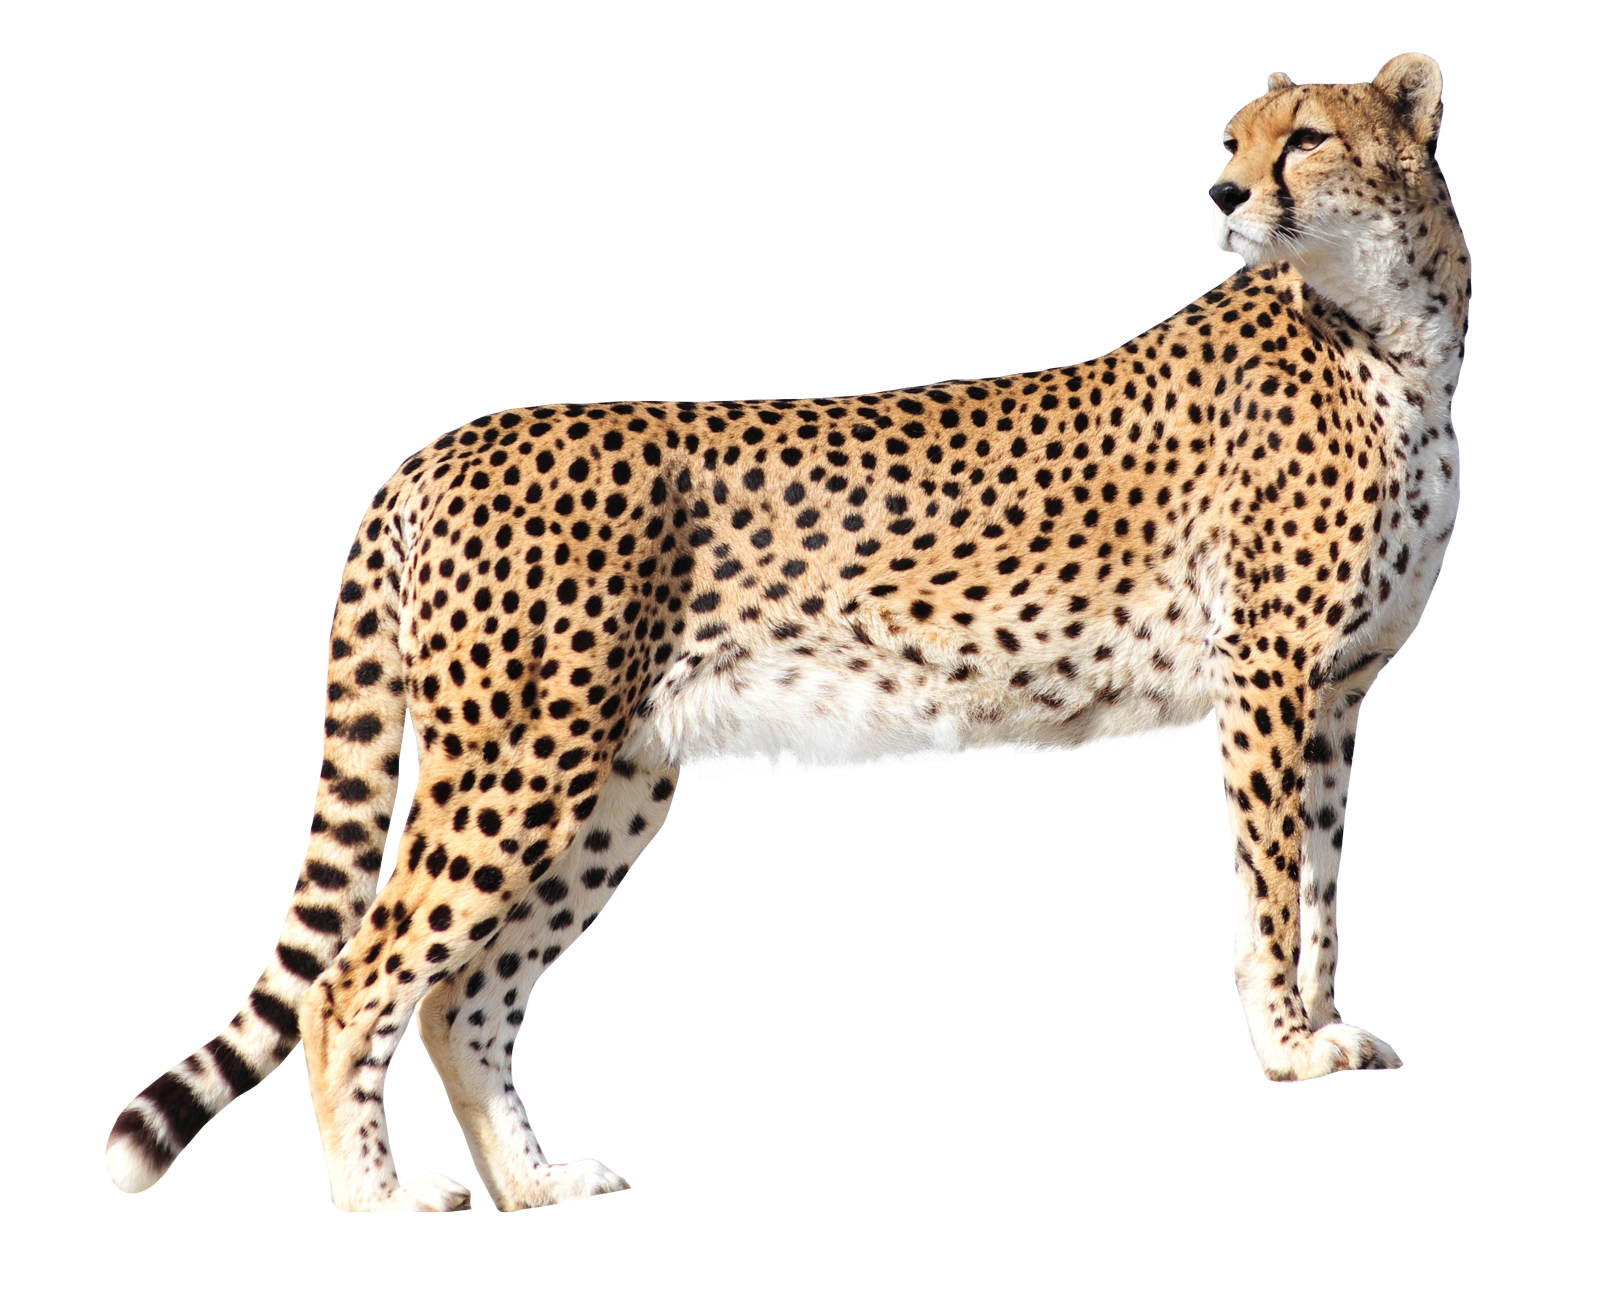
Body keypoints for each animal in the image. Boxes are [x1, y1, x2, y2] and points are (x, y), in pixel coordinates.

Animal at [106, 53, 1468, 1210]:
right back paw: (384, 1205)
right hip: (518, 759)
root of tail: (444, 443)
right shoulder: (1270, 676)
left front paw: (1325, 1029)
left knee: (466, 997)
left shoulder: (1334, 692)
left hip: (613, 779)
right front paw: (1287, 1047)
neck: (1395, 327)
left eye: (1303, 135)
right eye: (1232, 141)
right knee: (354, 985)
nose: (1223, 192)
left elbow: (1318, 878)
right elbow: (1271, 880)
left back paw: (538, 1189)